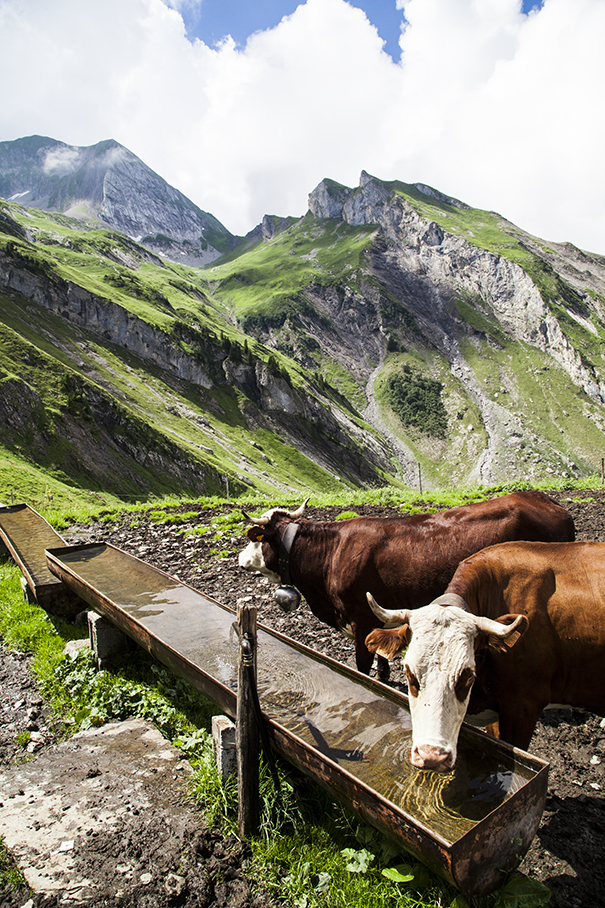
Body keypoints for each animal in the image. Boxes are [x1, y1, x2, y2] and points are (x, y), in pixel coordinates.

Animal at [238, 490, 572, 680]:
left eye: (252, 539)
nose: (240, 558)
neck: (331, 553)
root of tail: (545, 500)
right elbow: (382, 657)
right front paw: (385, 678)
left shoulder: (361, 619)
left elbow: (363, 665)